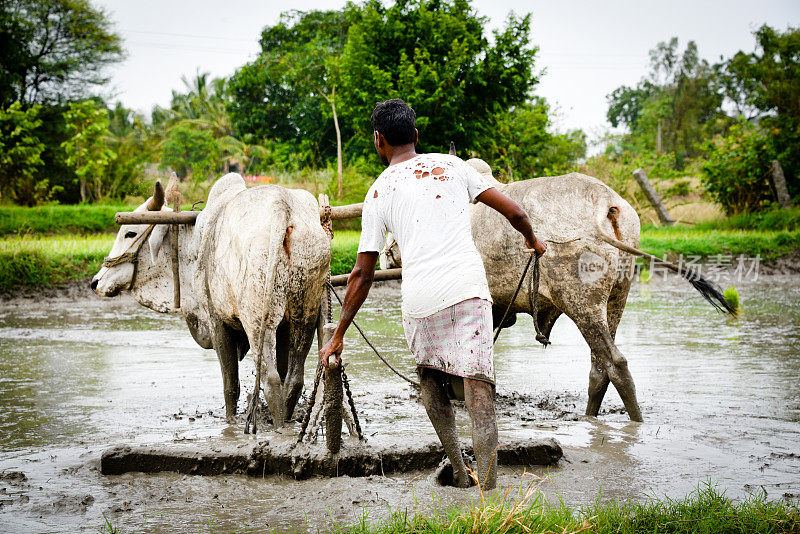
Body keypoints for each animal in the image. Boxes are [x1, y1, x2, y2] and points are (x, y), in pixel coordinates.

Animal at [92, 174, 330, 430]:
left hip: (257, 321)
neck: (196, 242)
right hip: (304, 312)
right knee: (294, 379)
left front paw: (230, 422)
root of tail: (282, 207)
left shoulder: (216, 320)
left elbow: (231, 385)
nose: (95, 282)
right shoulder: (284, 326)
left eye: (130, 233)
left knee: (271, 380)